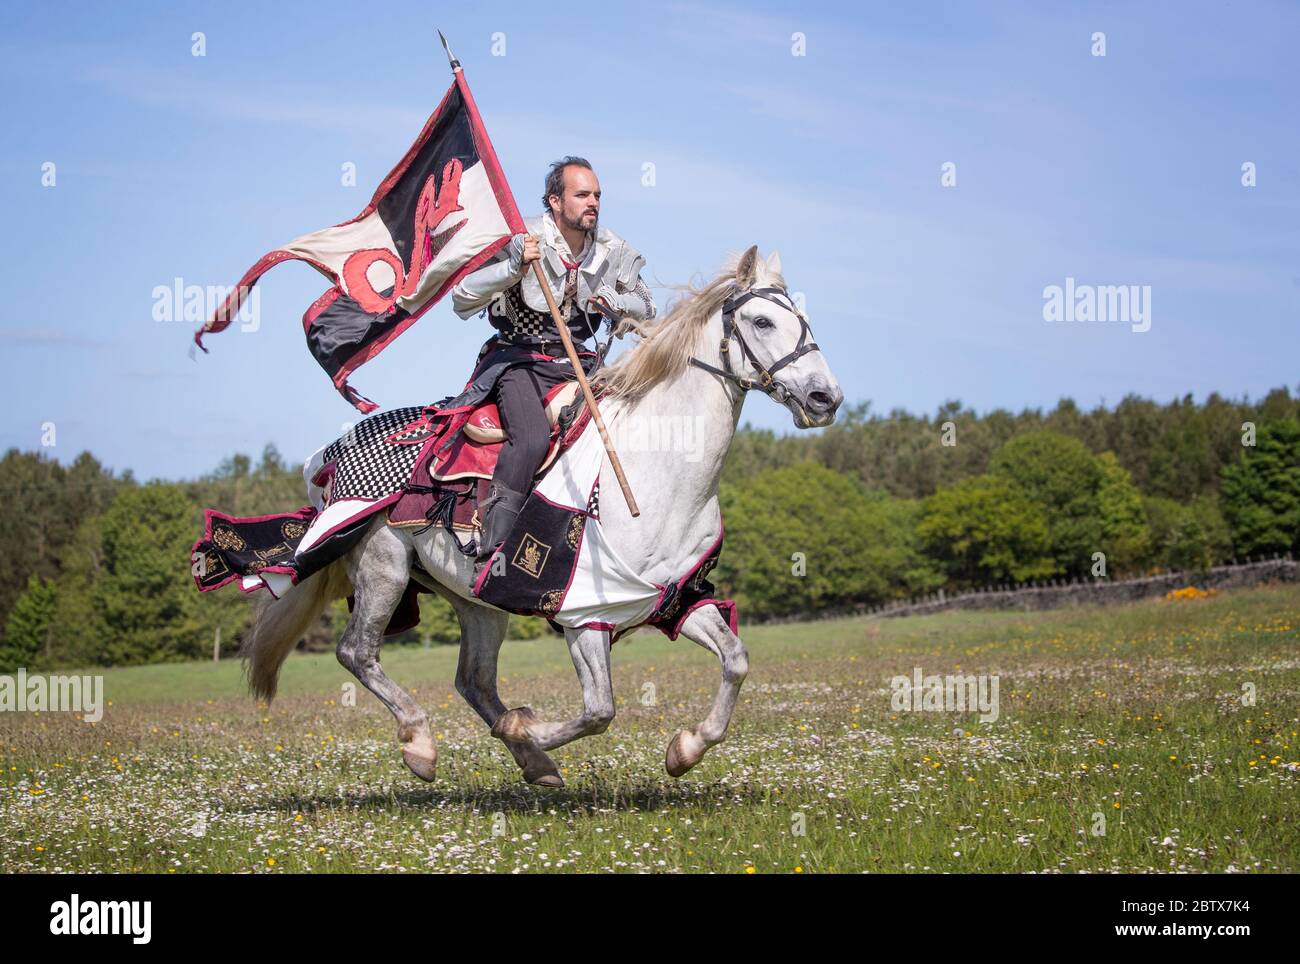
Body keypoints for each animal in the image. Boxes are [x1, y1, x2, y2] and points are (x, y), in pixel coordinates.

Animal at [240, 245, 847, 789]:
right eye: (762, 320)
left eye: (804, 319)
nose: (826, 399)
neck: (656, 471)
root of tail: (328, 455)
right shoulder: (583, 615)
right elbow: (600, 710)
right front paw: (526, 730)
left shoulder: (675, 598)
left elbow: (736, 660)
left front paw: (685, 750)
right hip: (383, 566)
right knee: (358, 653)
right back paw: (422, 744)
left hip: (477, 600)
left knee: (473, 680)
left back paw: (532, 763)